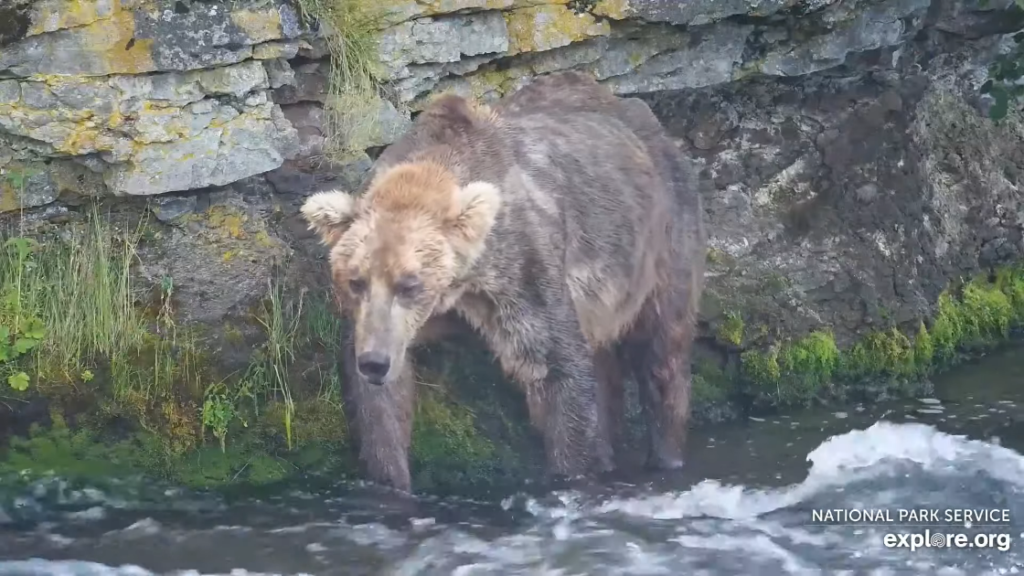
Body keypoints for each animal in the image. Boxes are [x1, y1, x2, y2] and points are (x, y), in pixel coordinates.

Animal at [301, 69, 704, 491]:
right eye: (356, 281)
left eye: (410, 284)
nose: (374, 362)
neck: (462, 285)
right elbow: (381, 412)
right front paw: (392, 479)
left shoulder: (523, 272)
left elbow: (558, 369)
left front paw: (572, 471)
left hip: (663, 242)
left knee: (663, 352)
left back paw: (666, 454)